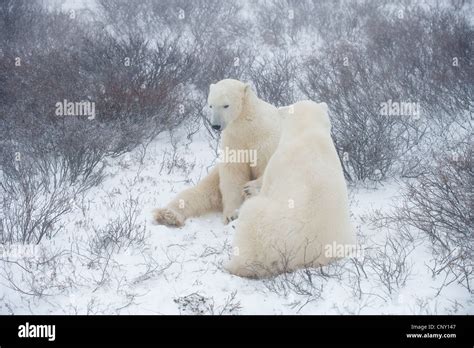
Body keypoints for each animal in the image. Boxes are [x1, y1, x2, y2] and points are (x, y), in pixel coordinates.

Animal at [154, 78, 284, 226]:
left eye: (226, 105)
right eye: (211, 105)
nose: (215, 126)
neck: (249, 125)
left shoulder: (266, 140)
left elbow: (271, 169)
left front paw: (249, 189)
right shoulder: (234, 140)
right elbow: (232, 174)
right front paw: (231, 215)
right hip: (215, 174)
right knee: (202, 191)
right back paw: (168, 215)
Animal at [226, 100, 356, 278]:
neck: (308, 132)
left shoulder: (277, 163)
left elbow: (266, 186)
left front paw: (249, 188)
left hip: (261, 229)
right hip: (345, 237)